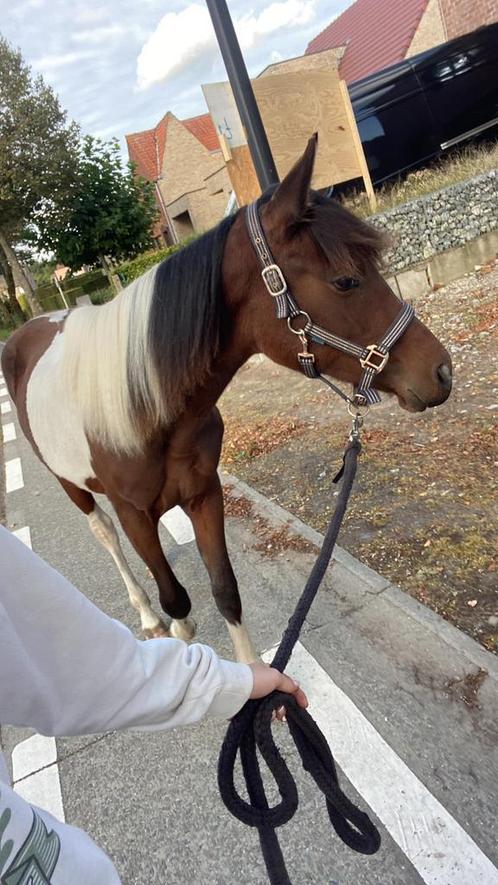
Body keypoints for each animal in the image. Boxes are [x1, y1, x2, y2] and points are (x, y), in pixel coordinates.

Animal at [1, 136, 452, 664]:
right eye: (345, 280)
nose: (441, 371)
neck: (150, 412)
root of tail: (27, 331)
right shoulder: (136, 514)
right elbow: (177, 598)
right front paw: (178, 633)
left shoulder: (204, 494)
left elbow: (225, 590)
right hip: (70, 483)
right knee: (106, 535)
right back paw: (147, 615)